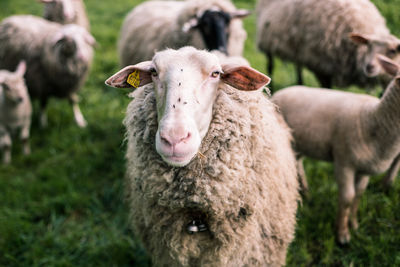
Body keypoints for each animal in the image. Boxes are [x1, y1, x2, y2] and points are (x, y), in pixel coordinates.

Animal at [256, 0, 400, 90]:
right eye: (369, 46)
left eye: (393, 51)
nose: (370, 67)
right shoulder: (321, 66)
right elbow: (326, 88)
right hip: (267, 38)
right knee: (270, 65)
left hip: (297, 46)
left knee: (298, 66)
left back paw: (300, 83)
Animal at [270, 55, 400, 246]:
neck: (373, 118)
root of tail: (279, 92)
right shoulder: (344, 161)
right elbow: (347, 198)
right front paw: (342, 234)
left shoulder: (365, 167)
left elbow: (358, 195)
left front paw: (354, 224)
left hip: (298, 143)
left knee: (298, 164)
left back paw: (306, 193)